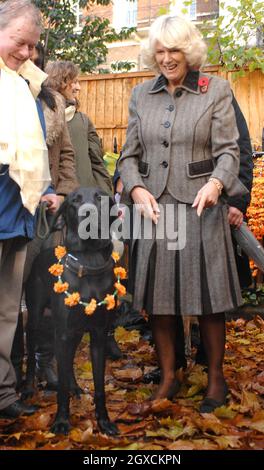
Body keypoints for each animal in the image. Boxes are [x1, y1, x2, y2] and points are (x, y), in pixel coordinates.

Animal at [23, 185, 119, 436]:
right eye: (75, 200)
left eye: (99, 197)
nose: (88, 212)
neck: (90, 258)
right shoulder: (63, 332)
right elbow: (62, 385)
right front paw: (61, 421)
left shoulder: (98, 334)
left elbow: (99, 385)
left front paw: (104, 422)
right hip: (36, 318)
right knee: (32, 355)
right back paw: (27, 389)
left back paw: (76, 386)